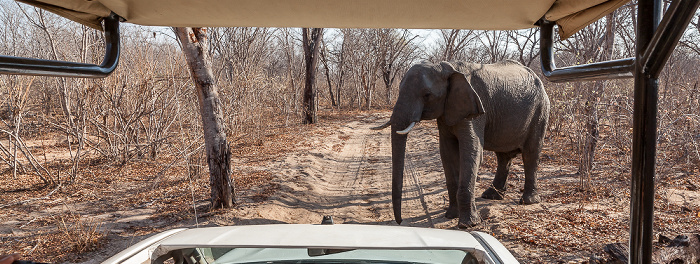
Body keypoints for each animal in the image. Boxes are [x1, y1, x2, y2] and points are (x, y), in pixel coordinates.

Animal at [374, 59, 548, 227]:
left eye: (427, 95)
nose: (400, 221)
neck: (446, 67)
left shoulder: (475, 110)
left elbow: (471, 150)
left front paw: (468, 224)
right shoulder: (447, 112)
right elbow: (447, 152)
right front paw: (451, 215)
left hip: (540, 112)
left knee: (530, 153)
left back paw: (528, 201)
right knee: (503, 157)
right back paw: (491, 196)